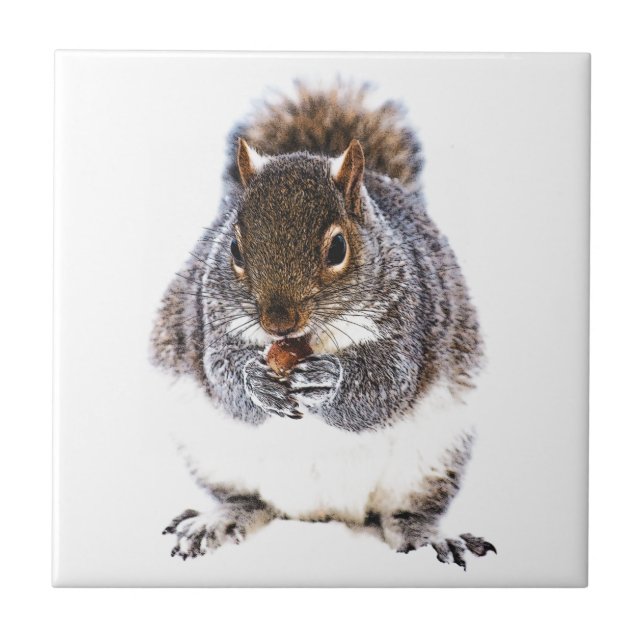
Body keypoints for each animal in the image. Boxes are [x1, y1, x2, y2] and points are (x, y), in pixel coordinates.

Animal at [151, 83, 495, 568]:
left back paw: (429, 538)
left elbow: (386, 387)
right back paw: (217, 521)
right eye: (234, 248)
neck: (306, 340)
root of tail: (322, 513)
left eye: (337, 248)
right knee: (247, 500)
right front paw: (256, 381)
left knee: (407, 513)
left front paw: (329, 381)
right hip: (213, 455)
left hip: (432, 461)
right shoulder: (209, 319)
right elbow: (222, 376)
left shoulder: (410, 321)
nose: (277, 322)